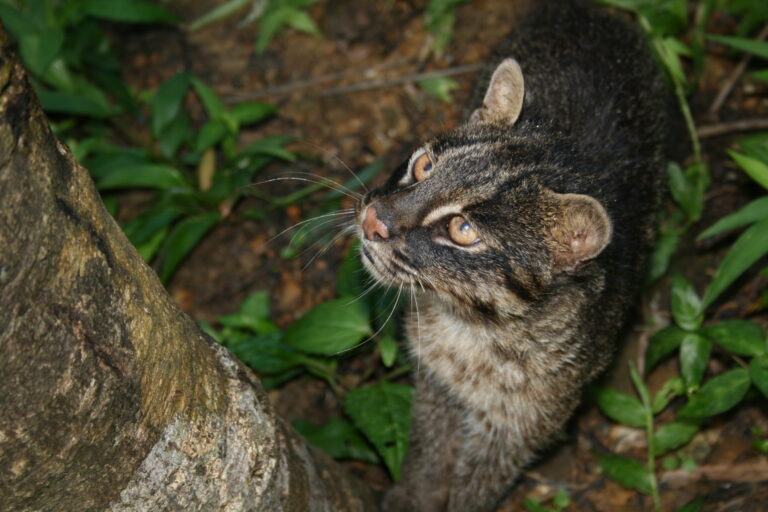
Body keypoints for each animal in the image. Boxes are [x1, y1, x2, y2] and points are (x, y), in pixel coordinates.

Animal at [352, 2, 664, 510]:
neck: (471, 326)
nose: (373, 220)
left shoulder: (520, 426)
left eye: (463, 230)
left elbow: (476, 488)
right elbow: (426, 451)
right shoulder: (435, 383)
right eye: (423, 165)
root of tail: (592, 10)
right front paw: (411, 496)